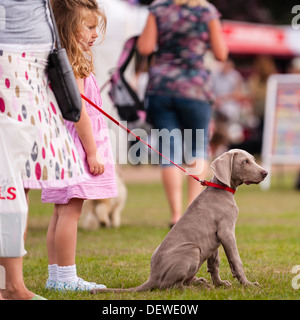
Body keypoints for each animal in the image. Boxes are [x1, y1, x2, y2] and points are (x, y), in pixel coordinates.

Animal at [91, 149, 268, 294]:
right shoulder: (227, 232)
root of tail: (153, 277)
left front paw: (220, 284)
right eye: (245, 162)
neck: (222, 189)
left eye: (253, 159)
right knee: (169, 286)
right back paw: (196, 288)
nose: (265, 173)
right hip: (193, 249)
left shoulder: (215, 238)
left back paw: (199, 282)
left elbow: (214, 264)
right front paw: (248, 285)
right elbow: (236, 261)